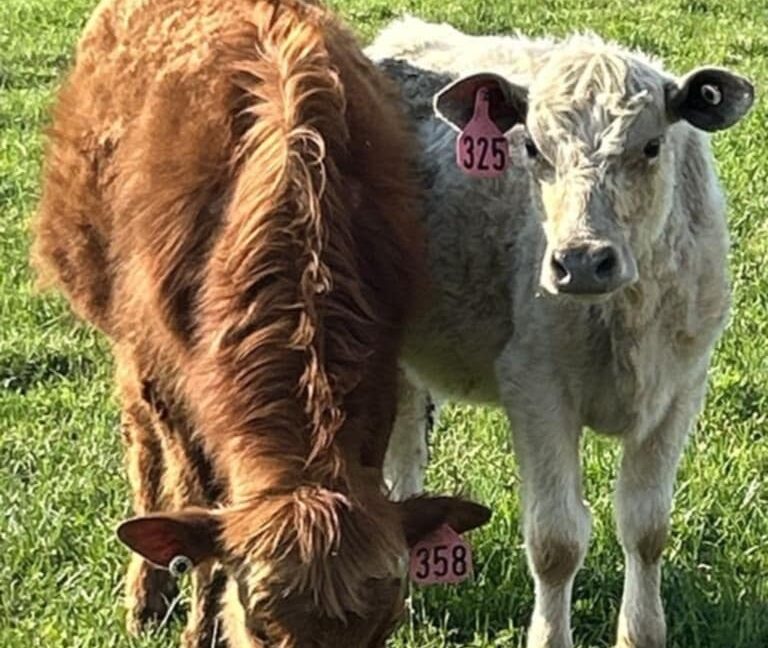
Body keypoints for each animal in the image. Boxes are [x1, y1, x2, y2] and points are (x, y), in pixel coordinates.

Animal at [31, 2, 492, 644]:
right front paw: (199, 628)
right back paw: (146, 595)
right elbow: (198, 504)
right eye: (263, 628)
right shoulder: (173, 385)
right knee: (143, 451)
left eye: (383, 628)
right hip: (125, 337)